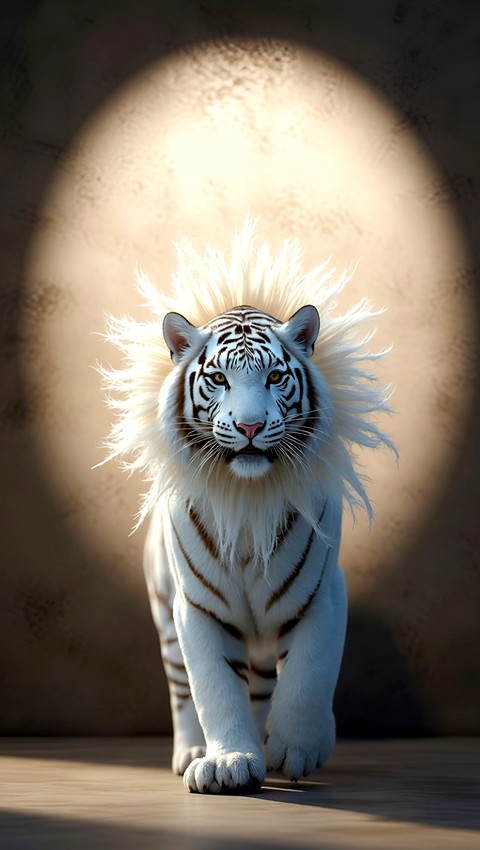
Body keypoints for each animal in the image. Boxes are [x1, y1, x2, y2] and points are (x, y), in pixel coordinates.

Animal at [99, 222, 395, 794]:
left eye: (275, 378)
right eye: (218, 379)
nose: (252, 426)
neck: (248, 501)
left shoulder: (323, 596)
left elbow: (309, 674)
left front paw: (298, 748)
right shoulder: (197, 610)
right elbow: (215, 690)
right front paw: (230, 761)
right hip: (165, 615)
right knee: (183, 689)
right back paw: (194, 750)